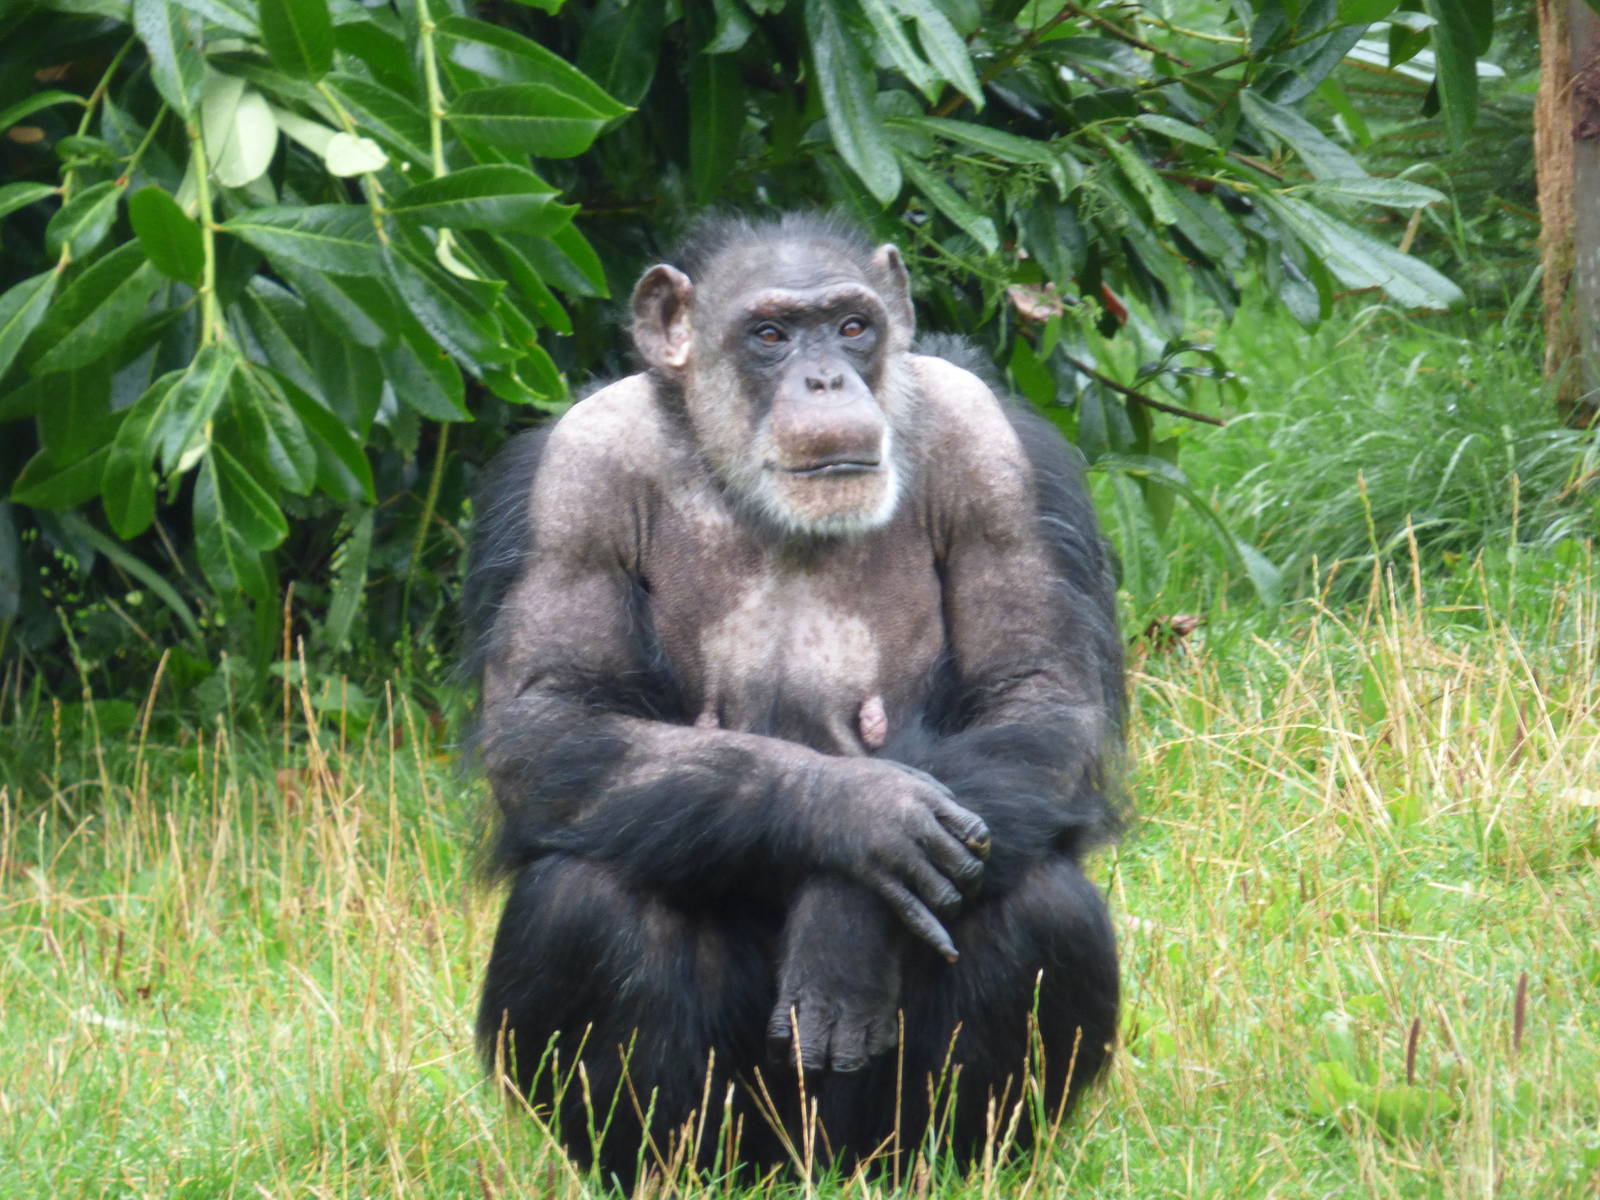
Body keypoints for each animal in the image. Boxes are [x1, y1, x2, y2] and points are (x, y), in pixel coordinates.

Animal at [464, 212, 1123, 1188]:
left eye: (851, 326)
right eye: (770, 334)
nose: (825, 378)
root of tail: (816, 1163)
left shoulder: (994, 458)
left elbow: (1035, 691)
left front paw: (841, 926)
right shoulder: (576, 482)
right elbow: (549, 716)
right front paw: (854, 814)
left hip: (866, 1129)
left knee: (1041, 899)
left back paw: (948, 1166)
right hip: (754, 1129)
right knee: (581, 900)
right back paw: (665, 1171)